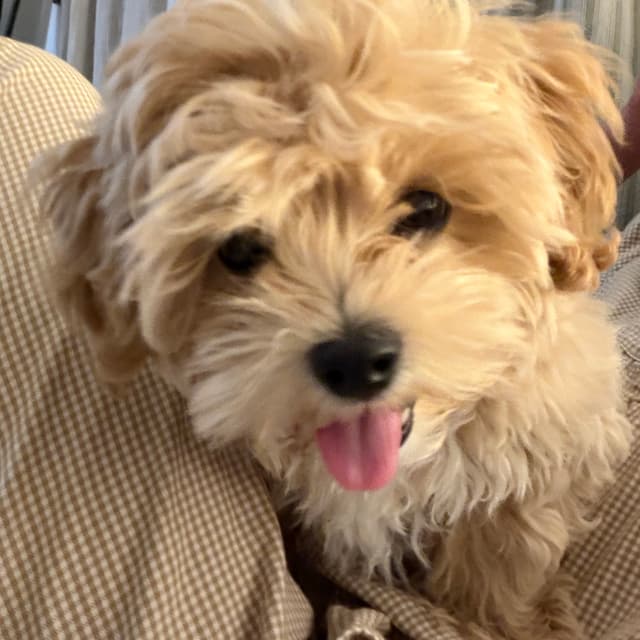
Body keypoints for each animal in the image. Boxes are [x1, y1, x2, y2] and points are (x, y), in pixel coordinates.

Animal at [39, 1, 633, 638]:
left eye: (426, 207)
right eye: (239, 249)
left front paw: (511, 621)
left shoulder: (547, 439)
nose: (354, 361)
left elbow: (505, 556)